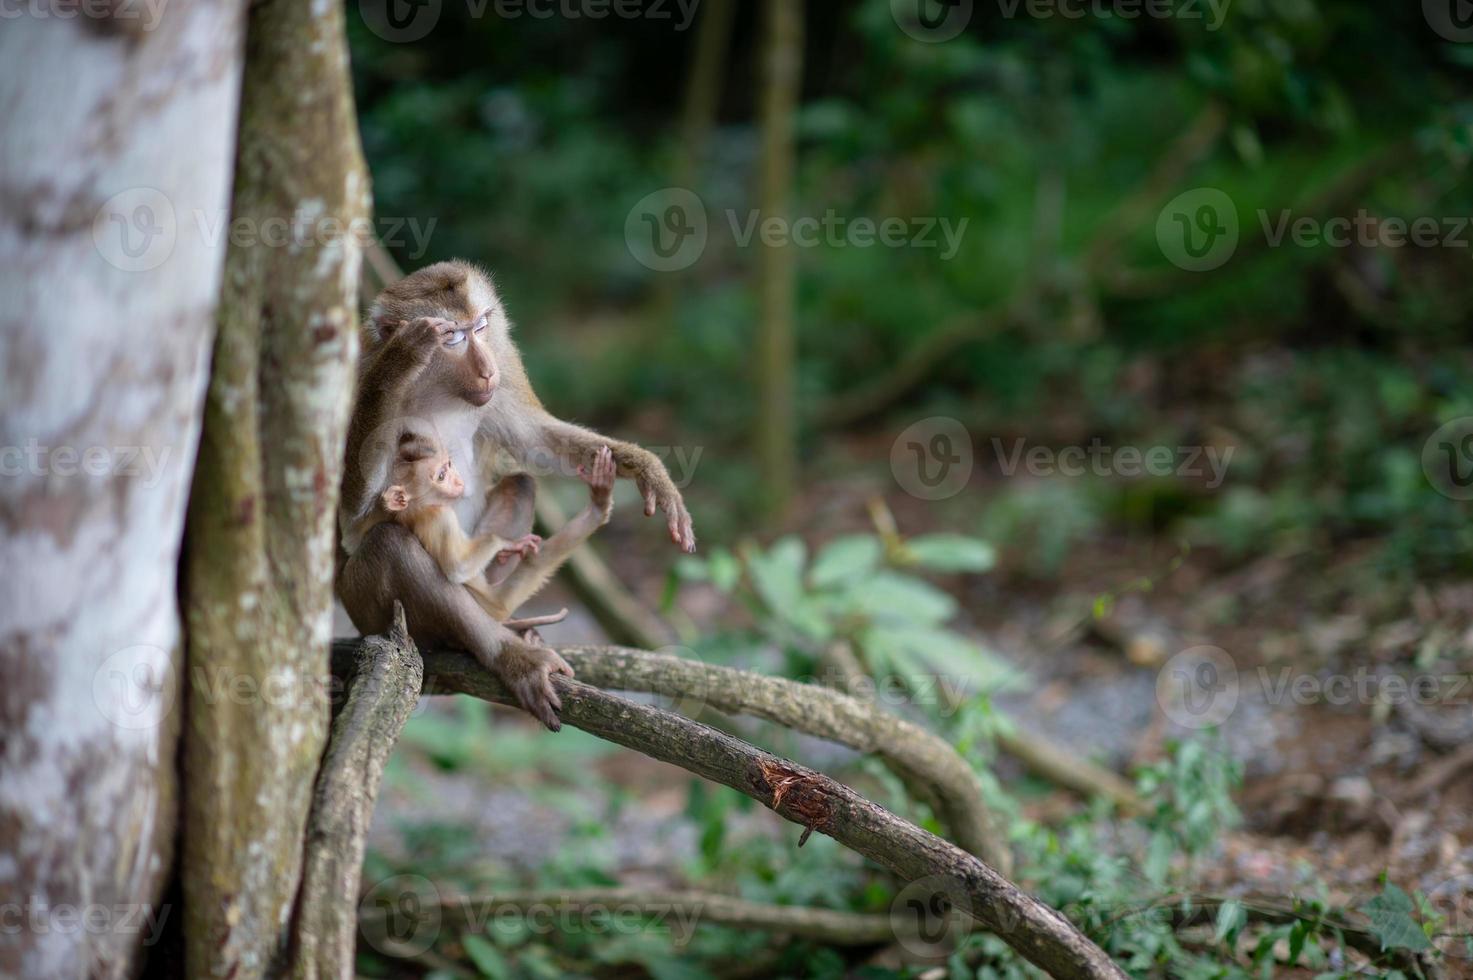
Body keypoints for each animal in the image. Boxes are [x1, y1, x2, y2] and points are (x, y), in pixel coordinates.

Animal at [338, 259, 695, 725]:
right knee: (389, 544)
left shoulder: (504, 366)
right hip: (363, 609)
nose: (486, 368)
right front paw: (401, 357)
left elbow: (533, 438)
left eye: (482, 325)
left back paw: (500, 606)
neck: (435, 389)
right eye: (453, 337)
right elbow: (350, 517)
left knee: (520, 483)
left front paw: (648, 470)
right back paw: (508, 653)